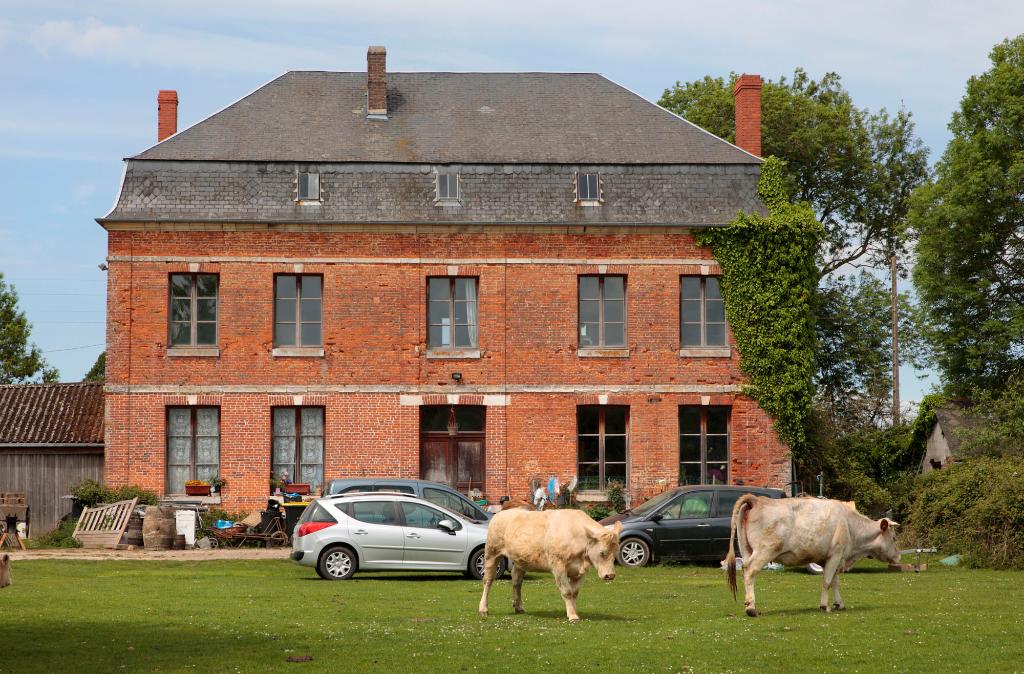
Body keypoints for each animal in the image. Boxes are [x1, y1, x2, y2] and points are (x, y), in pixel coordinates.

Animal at [481, 510, 622, 618]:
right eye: (602, 552)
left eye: (615, 553)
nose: (610, 575)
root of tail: (501, 513)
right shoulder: (558, 566)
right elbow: (567, 592)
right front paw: (573, 616)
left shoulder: (580, 572)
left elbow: (574, 593)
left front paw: (573, 612)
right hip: (492, 553)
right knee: (488, 580)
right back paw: (483, 609)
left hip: (520, 560)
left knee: (516, 581)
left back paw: (519, 607)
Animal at [724, 493, 901, 614]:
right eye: (894, 538)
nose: (898, 556)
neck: (850, 525)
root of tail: (757, 499)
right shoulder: (835, 555)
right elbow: (827, 581)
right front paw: (824, 606)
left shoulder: (835, 559)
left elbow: (835, 582)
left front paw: (839, 604)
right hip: (764, 551)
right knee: (750, 572)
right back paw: (751, 608)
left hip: (747, 550)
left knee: (745, 571)